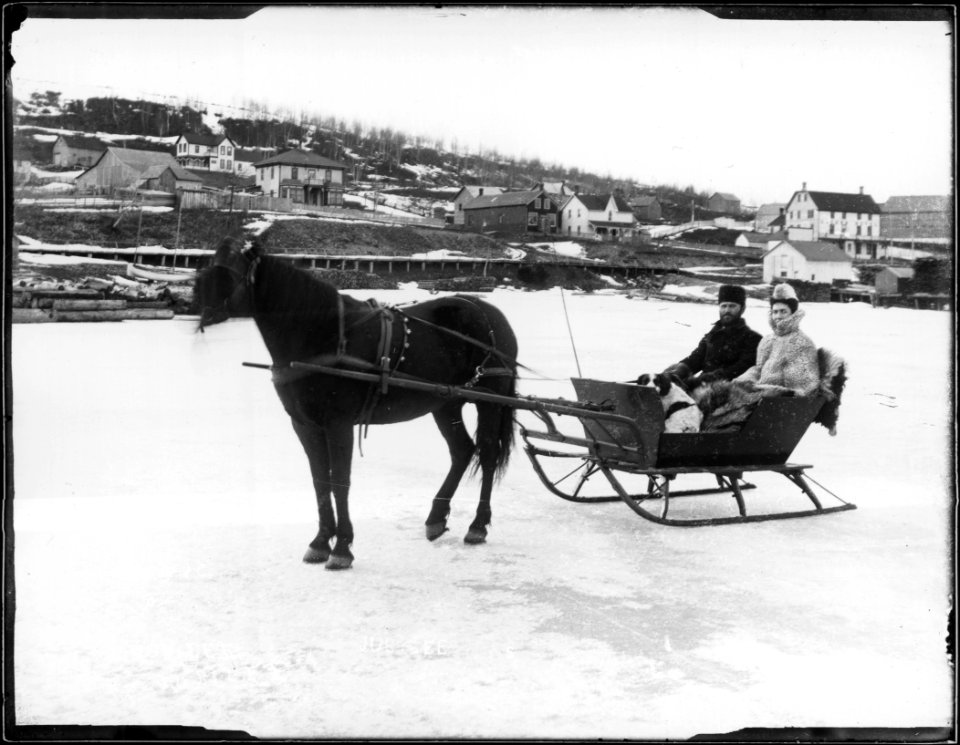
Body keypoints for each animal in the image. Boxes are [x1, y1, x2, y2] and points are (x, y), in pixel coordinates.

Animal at [189, 240, 516, 568]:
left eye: (229, 271)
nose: (195, 301)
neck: (325, 334)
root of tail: (490, 313)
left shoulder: (339, 424)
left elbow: (340, 482)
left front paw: (342, 547)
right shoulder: (305, 425)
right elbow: (320, 482)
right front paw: (321, 541)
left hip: (490, 401)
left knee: (487, 454)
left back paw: (478, 525)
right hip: (445, 404)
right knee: (462, 451)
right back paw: (436, 517)